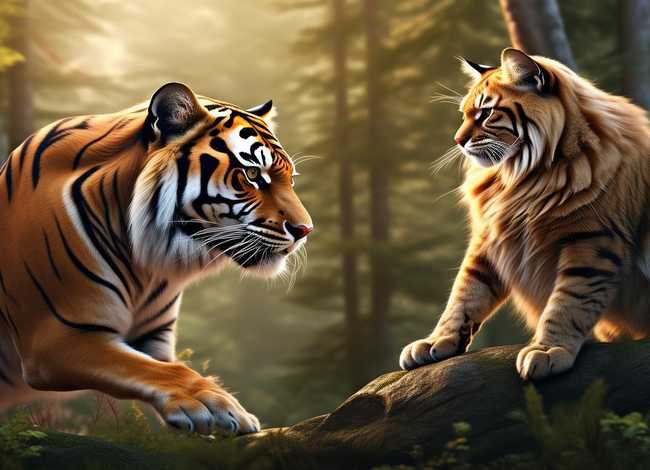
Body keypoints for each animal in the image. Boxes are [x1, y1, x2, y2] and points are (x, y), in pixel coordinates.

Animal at [0, 82, 313, 435]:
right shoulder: (58, 338)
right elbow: (158, 370)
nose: (305, 230)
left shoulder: (154, 340)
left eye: (291, 179)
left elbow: (157, 368)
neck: (144, 262)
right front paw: (216, 403)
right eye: (251, 174)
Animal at [399, 48, 650, 381]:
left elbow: (569, 301)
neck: (523, 176)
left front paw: (548, 350)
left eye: (486, 113)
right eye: (464, 114)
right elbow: (464, 294)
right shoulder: (489, 238)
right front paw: (436, 341)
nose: (457, 141)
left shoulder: (592, 240)